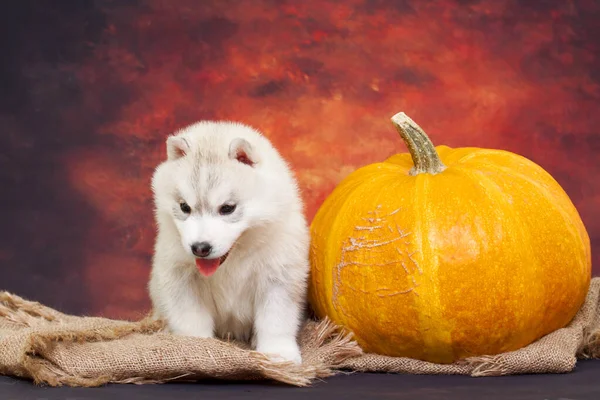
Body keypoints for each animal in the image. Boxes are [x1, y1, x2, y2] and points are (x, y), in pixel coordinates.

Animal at [149, 120, 310, 364]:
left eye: (227, 208)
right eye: (184, 207)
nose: (200, 248)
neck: (235, 257)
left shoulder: (278, 276)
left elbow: (276, 320)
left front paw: (278, 353)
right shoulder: (180, 276)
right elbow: (190, 318)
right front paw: (196, 348)